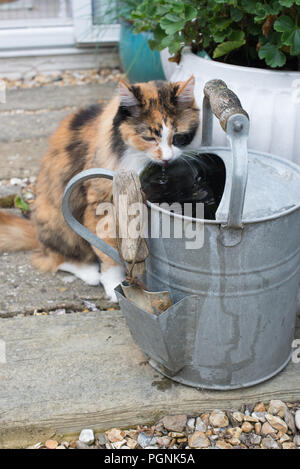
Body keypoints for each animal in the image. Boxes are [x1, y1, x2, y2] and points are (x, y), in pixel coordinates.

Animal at [0, 75, 202, 302]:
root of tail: (35, 228)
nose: (167, 158)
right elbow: (108, 251)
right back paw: (90, 273)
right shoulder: (101, 203)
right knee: (56, 258)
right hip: (60, 222)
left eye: (178, 137)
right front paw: (116, 286)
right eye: (149, 138)